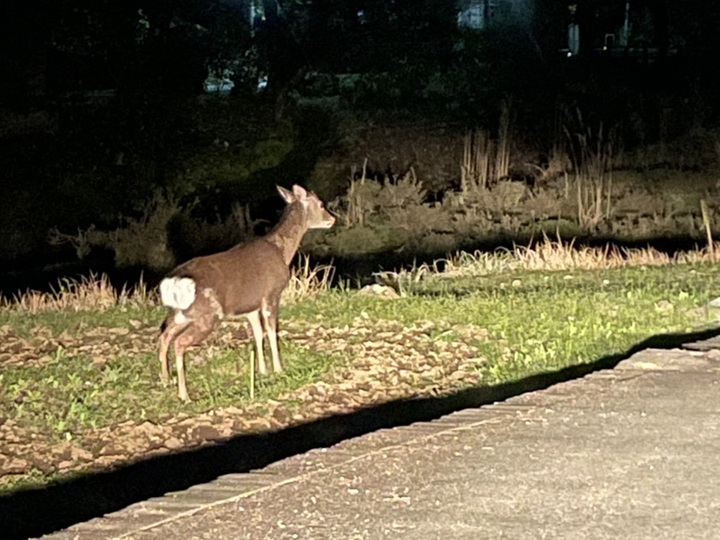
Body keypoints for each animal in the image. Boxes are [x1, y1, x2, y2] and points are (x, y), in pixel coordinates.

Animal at [158, 184, 335, 401]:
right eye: (321, 204)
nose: (332, 219)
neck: (281, 250)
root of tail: (174, 281)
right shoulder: (271, 294)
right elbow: (272, 332)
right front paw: (278, 369)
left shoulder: (251, 307)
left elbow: (258, 334)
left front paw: (263, 370)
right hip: (208, 314)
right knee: (179, 342)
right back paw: (184, 395)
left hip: (181, 313)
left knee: (164, 336)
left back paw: (166, 380)